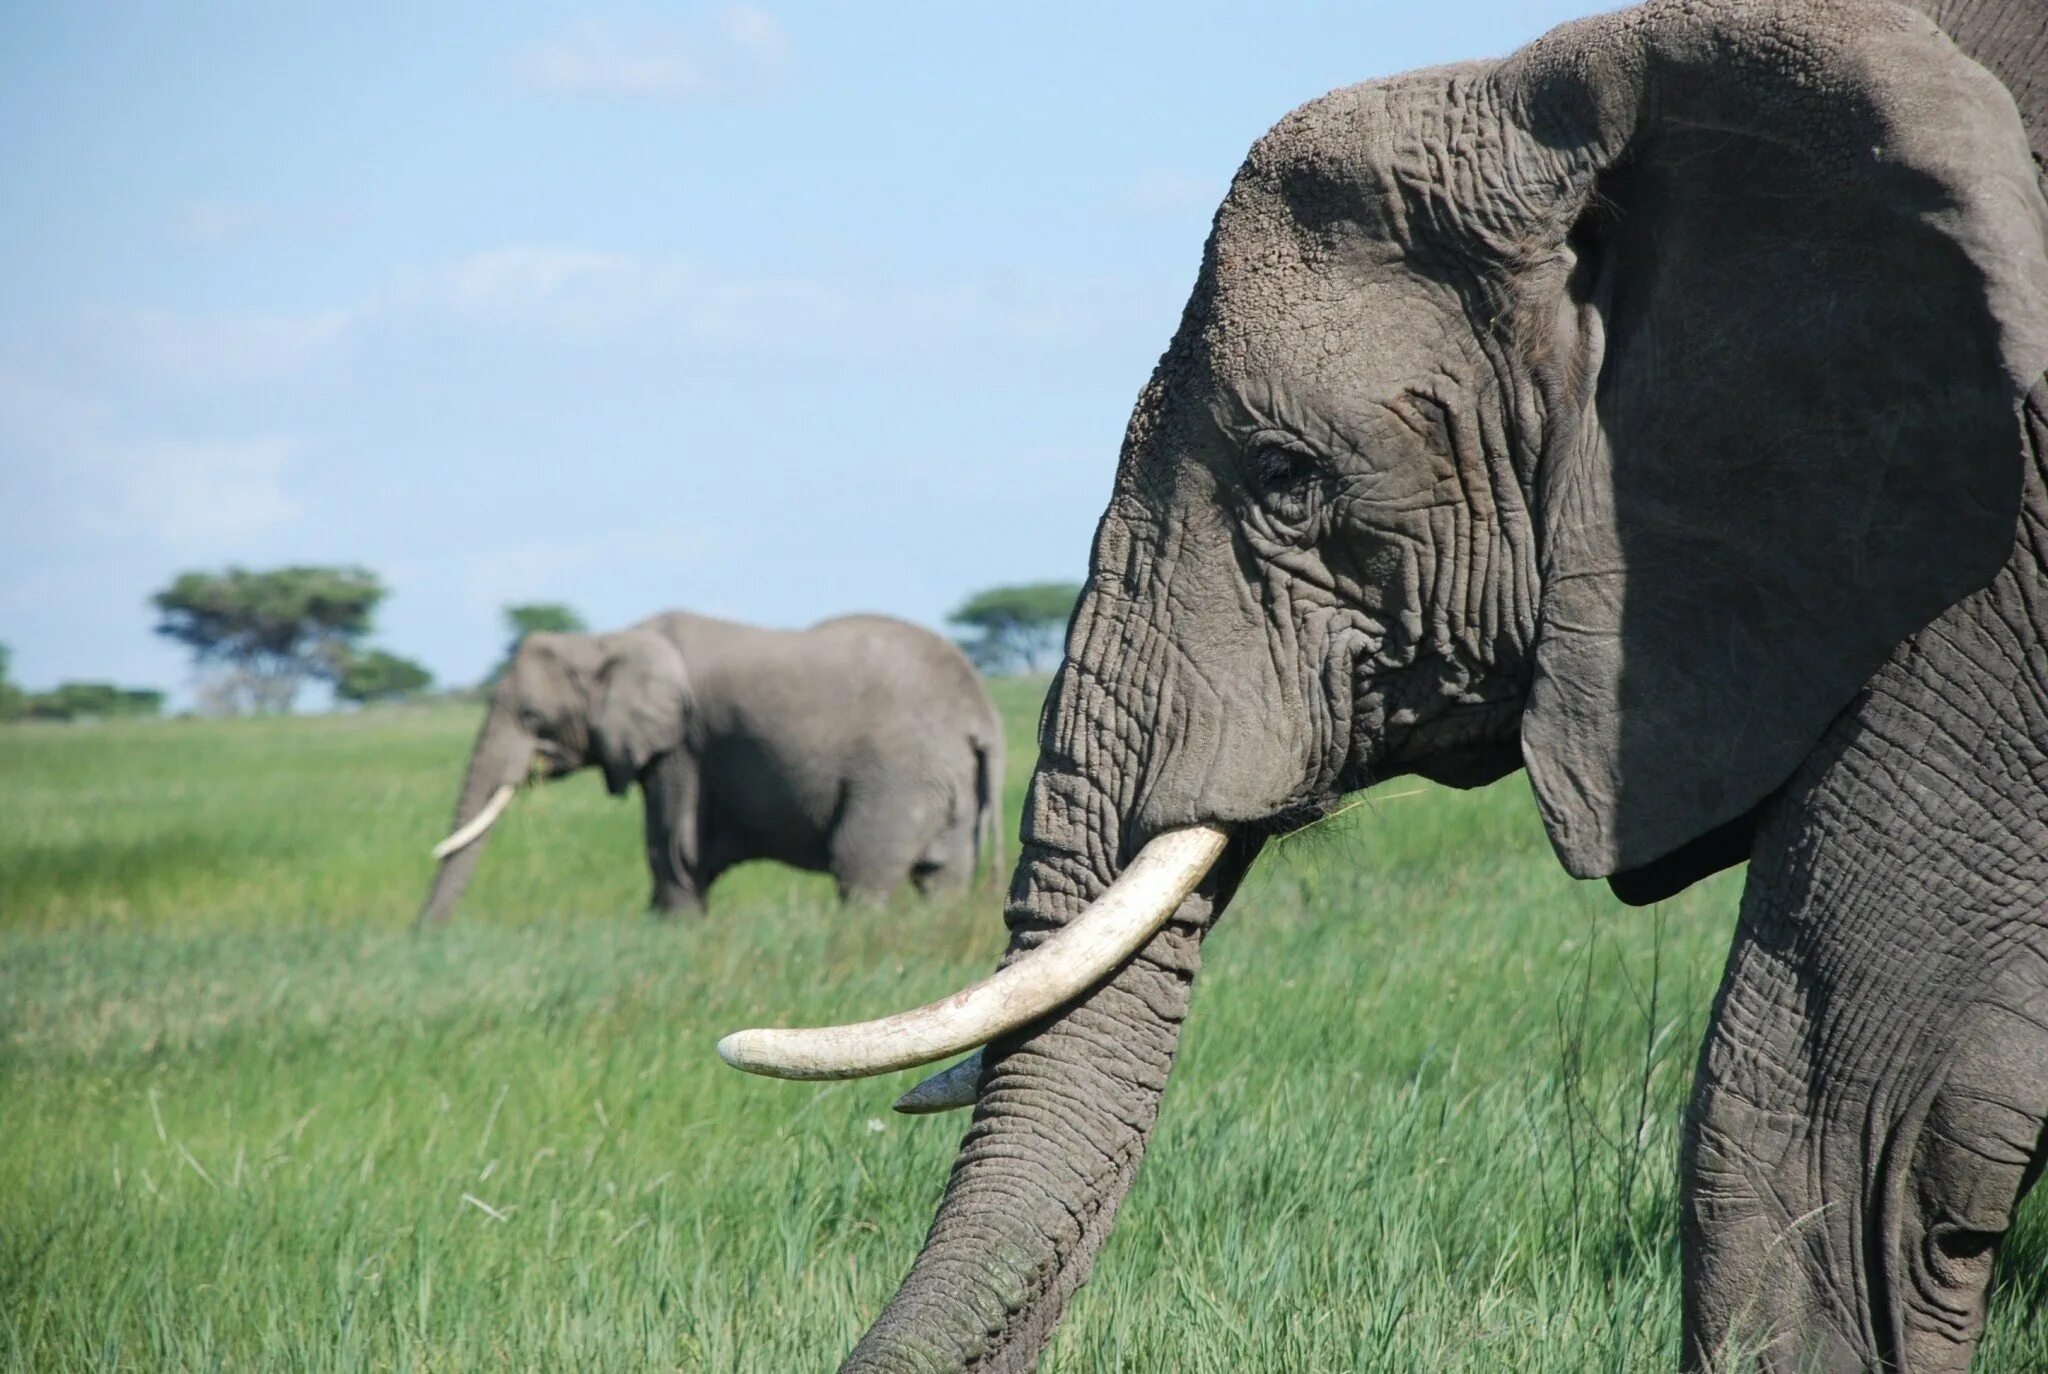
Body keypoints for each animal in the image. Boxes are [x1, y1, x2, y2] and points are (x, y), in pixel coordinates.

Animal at [411, 614, 1003, 925]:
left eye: (532, 718)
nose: (425, 936)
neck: (609, 640)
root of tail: (982, 716)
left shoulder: (683, 746)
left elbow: (673, 845)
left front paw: (674, 928)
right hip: (948, 783)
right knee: (943, 878)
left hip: (898, 777)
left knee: (860, 869)